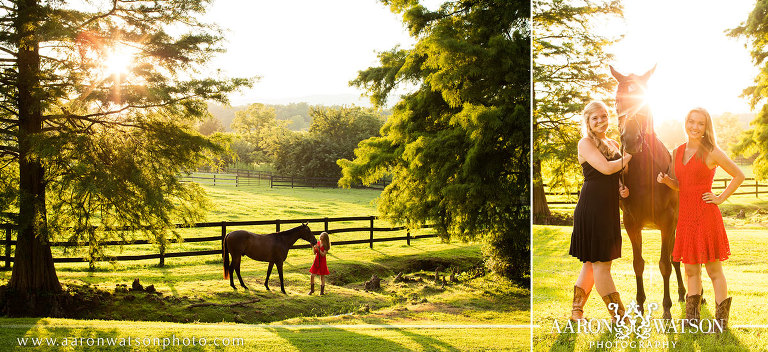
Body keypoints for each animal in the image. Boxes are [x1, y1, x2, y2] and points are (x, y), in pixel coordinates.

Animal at [612, 64, 684, 320]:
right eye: (617, 100)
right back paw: (683, 293)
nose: (631, 140)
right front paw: (641, 305)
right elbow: (638, 263)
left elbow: (664, 264)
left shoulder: (668, 222)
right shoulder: (631, 224)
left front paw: (666, 308)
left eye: (644, 101)